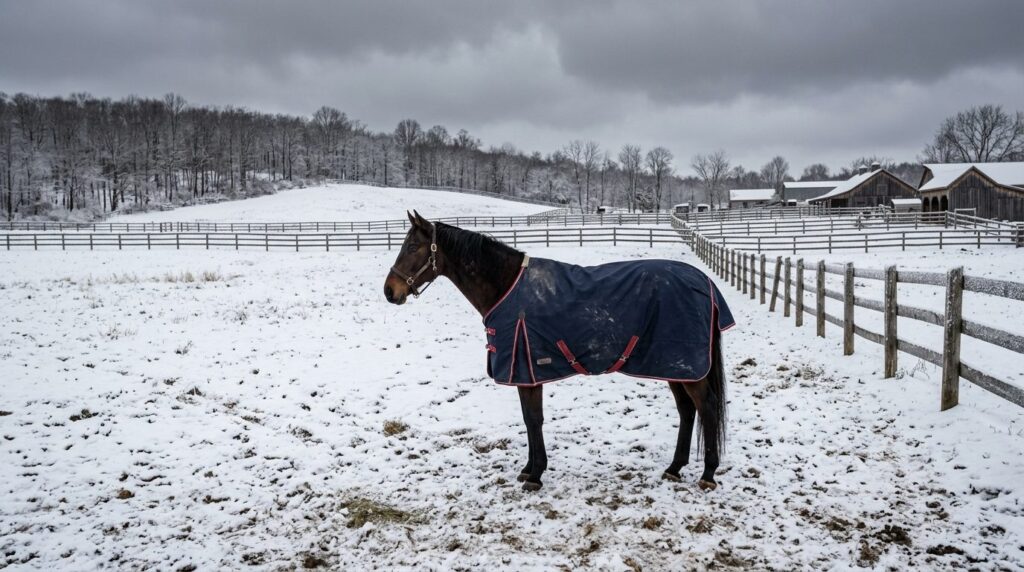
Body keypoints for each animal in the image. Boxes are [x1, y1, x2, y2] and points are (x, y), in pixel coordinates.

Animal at [384, 211, 733, 492]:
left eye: (412, 247)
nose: (390, 291)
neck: (506, 287)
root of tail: (704, 282)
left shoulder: (528, 369)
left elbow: (533, 419)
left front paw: (536, 475)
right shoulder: (526, 374)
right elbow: (529, 419)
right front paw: (528, 470)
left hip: (687, 367)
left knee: (706, 407)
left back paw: (708, 475)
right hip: (674, 365)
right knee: (687, 411)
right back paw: (674, 468)